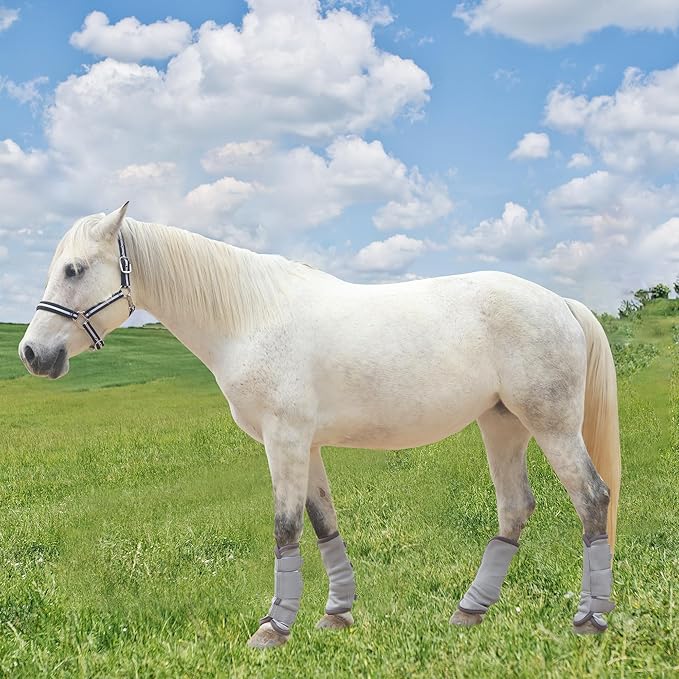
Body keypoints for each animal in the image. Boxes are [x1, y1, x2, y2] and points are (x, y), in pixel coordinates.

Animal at [19, 203, 620, 647]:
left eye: (74, 269)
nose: (32, 353)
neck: (248, 316)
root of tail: (561, 302)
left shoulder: (284, 440)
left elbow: (285, 527)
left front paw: (274, 628)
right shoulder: (304, 446)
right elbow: (322, 521)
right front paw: (336, 614)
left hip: (550, 425)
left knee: (592, 497)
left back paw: (589, 620)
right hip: (502, 426)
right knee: (516, 508)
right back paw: (469, 611)